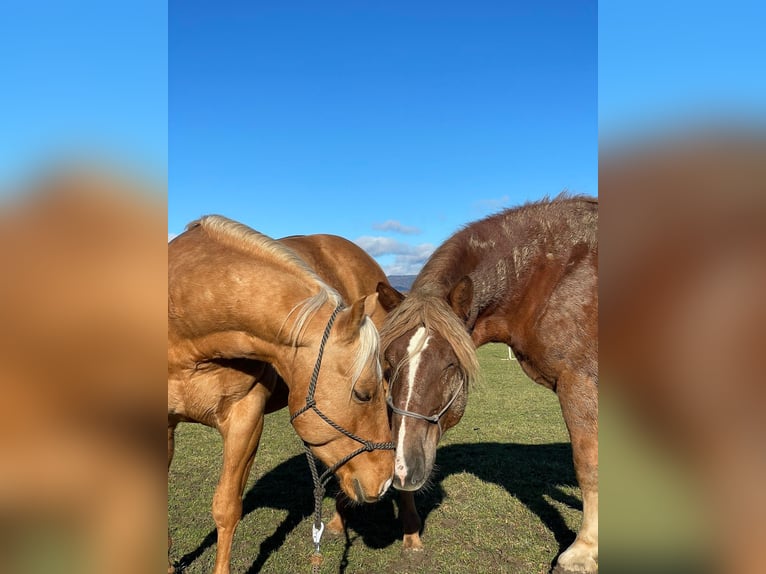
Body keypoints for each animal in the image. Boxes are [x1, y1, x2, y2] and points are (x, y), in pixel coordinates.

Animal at [377, 195, 598, 573]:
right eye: (388, 364)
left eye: (450, 365)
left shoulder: (579, 382)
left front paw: (582, 553)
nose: (403, 472)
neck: (556, 277)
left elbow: (587, 464)